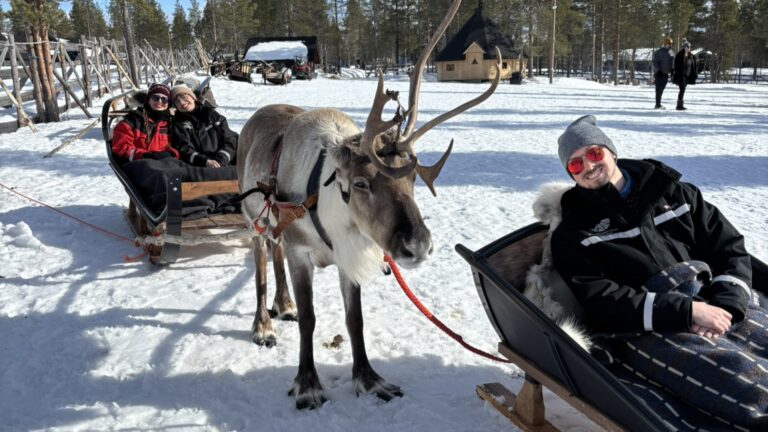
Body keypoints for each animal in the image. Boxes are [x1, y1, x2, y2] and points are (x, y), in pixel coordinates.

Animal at [236, 0, 501, 410]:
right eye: (361, 183)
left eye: (412, 180)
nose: (417, 246)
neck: (329, 210)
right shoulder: (300, 252)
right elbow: (311, 319)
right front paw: (308, 384)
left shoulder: (347, 256)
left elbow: (355, 319)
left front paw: (369, 379)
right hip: (255, 221)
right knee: (263, 263)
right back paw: (263, 325)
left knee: (274, 258)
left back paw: (285, 305)